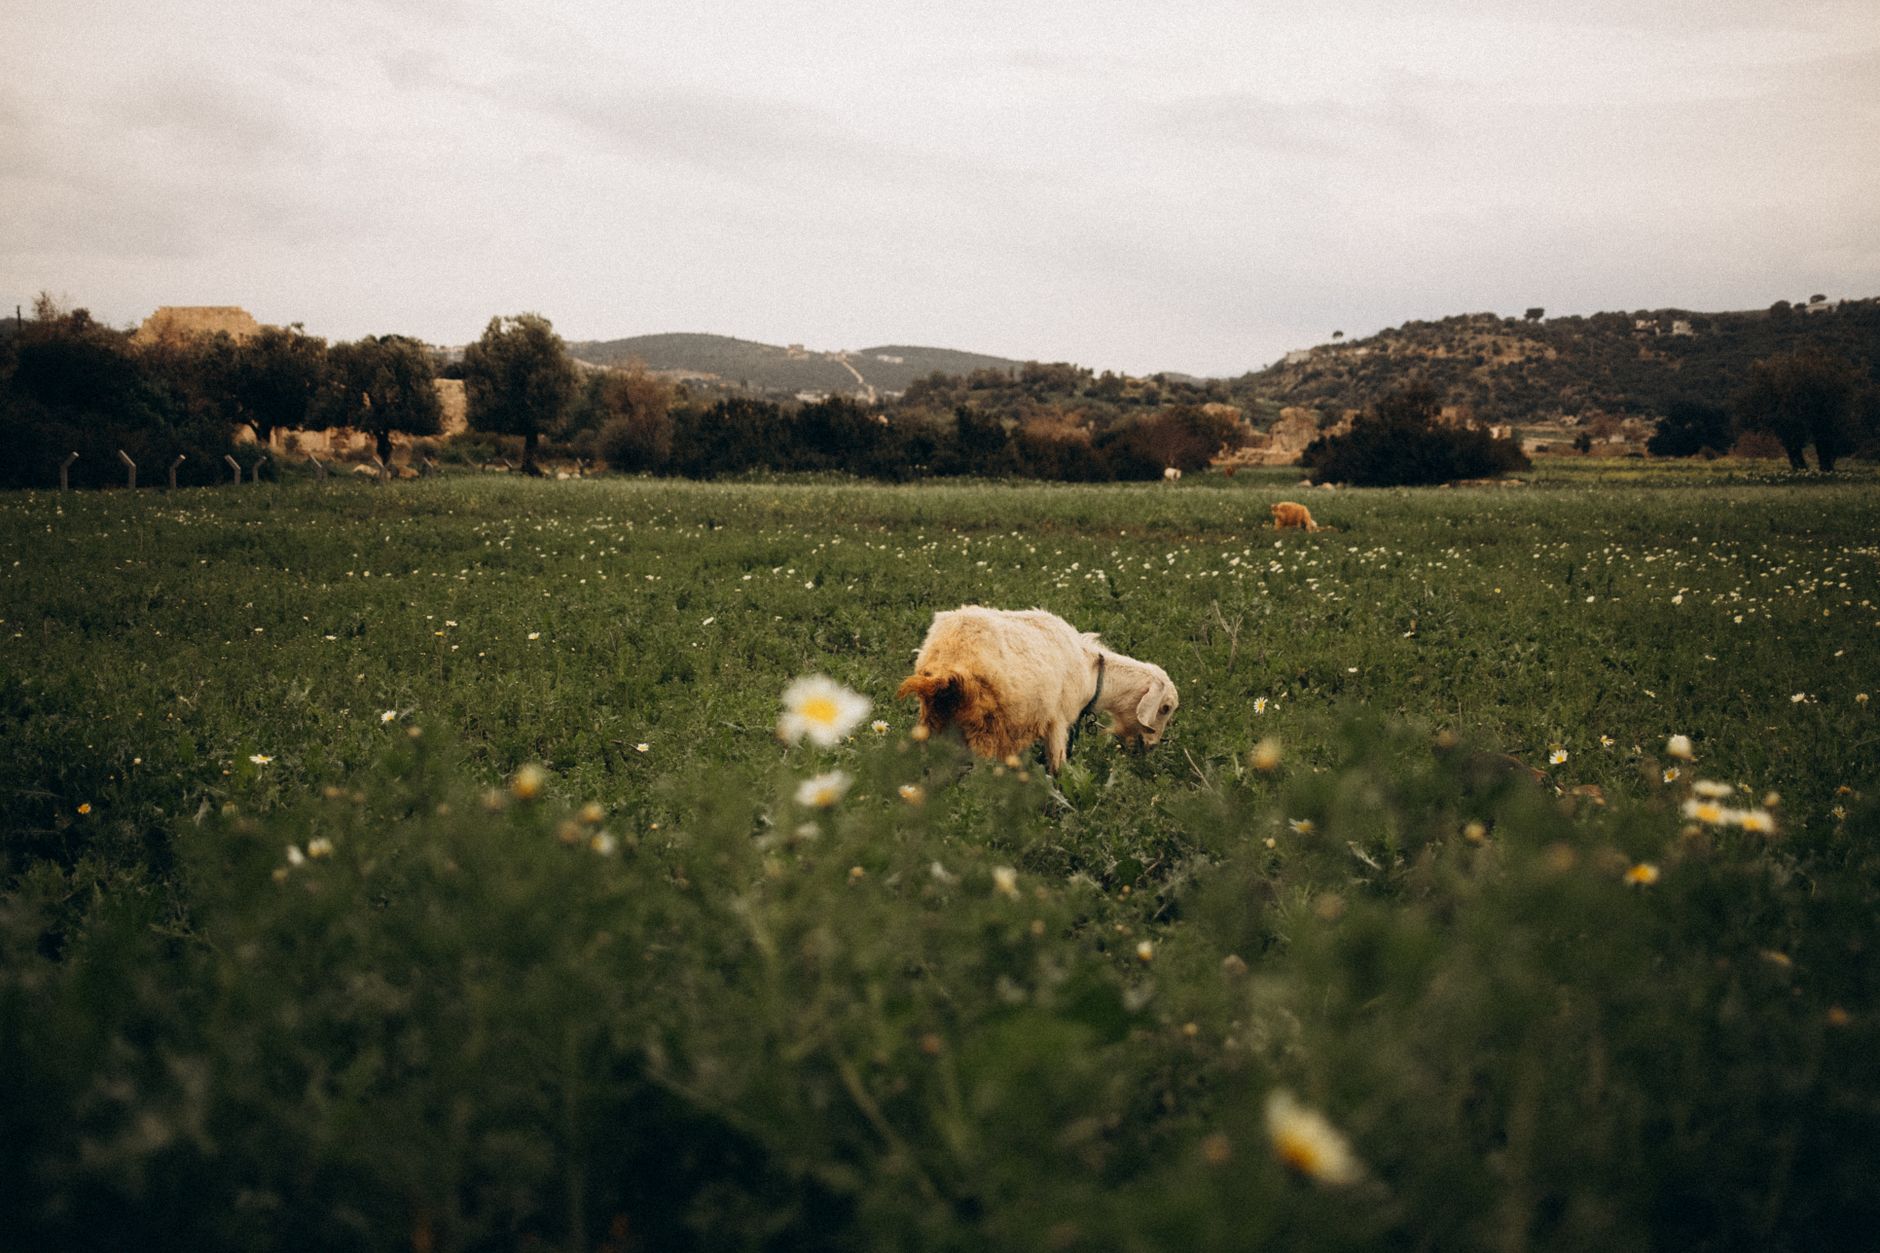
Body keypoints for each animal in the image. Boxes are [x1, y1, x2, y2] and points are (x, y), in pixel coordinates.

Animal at [896, 606, 1179, 772]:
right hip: (984, 726)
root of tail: (950, 660)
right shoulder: (1058, 720)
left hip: (933, 718)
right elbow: (1058, 766)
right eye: (1165, 708)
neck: (1091, 673)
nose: (1150, 747)